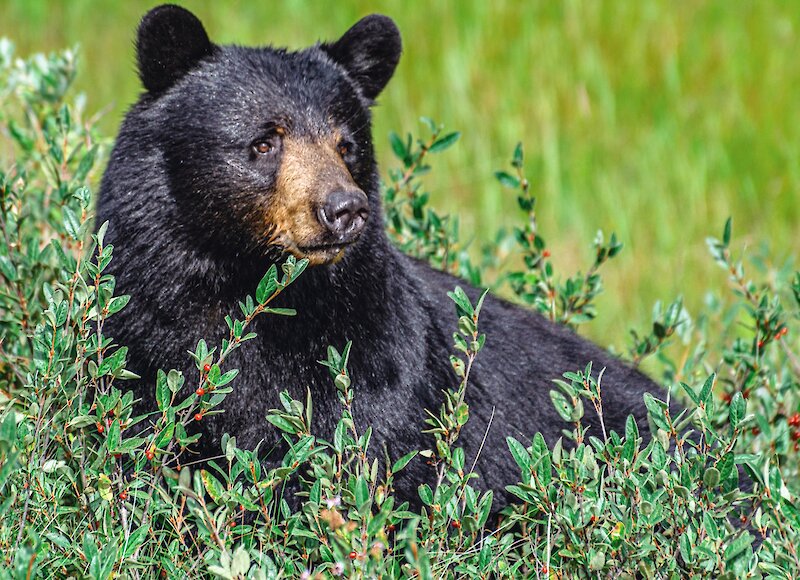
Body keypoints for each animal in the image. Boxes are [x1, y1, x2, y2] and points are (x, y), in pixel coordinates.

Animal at [97, 6, 676, 510]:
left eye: (346, 146)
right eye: (264, 142)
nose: (344, 209)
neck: (253, 289)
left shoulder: (384, 373)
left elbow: (380, 460)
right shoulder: (141, 346)